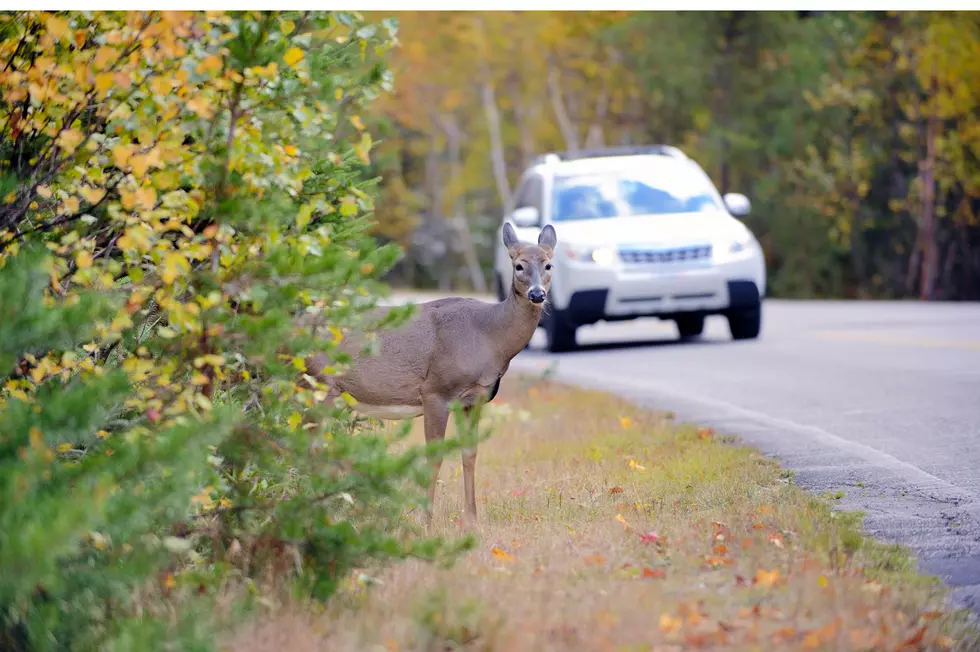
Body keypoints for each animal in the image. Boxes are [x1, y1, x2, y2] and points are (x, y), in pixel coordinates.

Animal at [306, 222, 560, 528]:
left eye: (549, 264)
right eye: (519, 265)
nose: (537, 294)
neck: (489, 336)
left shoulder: (474, 399)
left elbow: (470, 453)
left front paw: (472, 520)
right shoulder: (436, 391)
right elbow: (434, 456)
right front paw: (425, 522)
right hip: (319, 384)